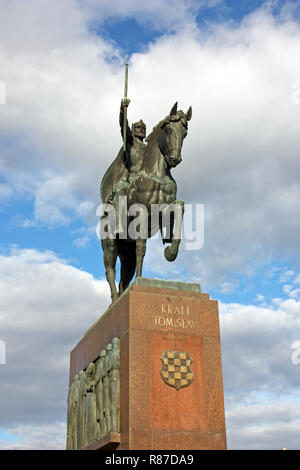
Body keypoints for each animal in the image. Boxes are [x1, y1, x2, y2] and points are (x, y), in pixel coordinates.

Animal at [99, 101, 191, 302]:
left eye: (185, 133)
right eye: (169, 129)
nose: (175, 159)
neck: (155, 173)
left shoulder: (162, 212)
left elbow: (179, 206)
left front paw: (171, 252)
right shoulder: (141, 214)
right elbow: (141, 248)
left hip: (126, 253)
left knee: (124, 279)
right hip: (110, 245)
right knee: (110, 271)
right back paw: (115, 301)